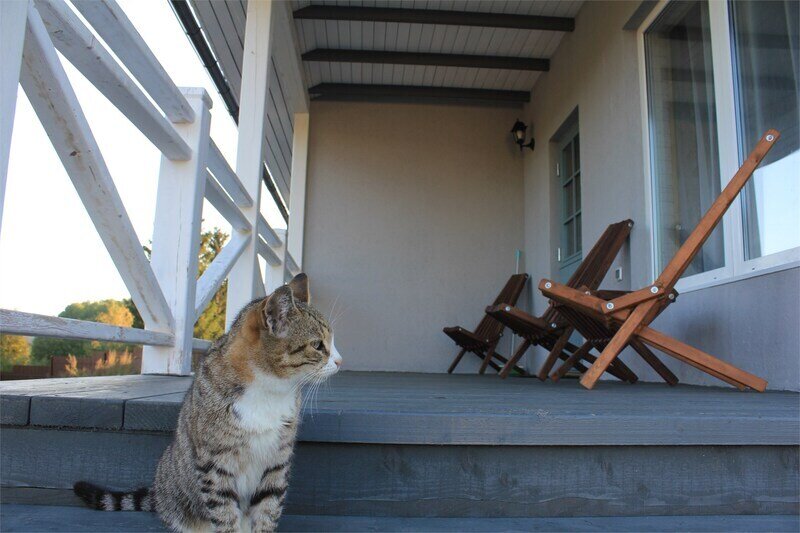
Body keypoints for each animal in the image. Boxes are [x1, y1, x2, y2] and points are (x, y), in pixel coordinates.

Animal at [74, 273, 342, 532]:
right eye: (318, 345)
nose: (340, 361)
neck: (268, 392)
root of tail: (158, 494)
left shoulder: (277, 462)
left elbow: (268, 510)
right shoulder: (215, 464)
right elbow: (224, 514)